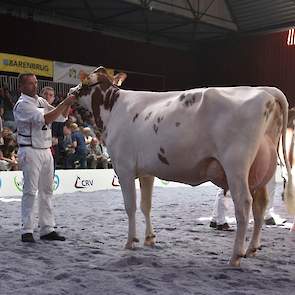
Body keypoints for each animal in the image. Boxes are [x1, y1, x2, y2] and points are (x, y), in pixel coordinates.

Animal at [70, 67, 295, 268]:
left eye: (84, 83)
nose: (71, 91)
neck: (113, 107)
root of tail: (265, 91)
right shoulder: (147, 172)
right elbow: (146, 205)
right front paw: (149, 238)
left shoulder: (124, 167)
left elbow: (130, 206)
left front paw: (130, 242)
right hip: (263, 169)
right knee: (260, 205)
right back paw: (252, 249)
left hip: (236, 166)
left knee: (244, 206)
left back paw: (235, 256)